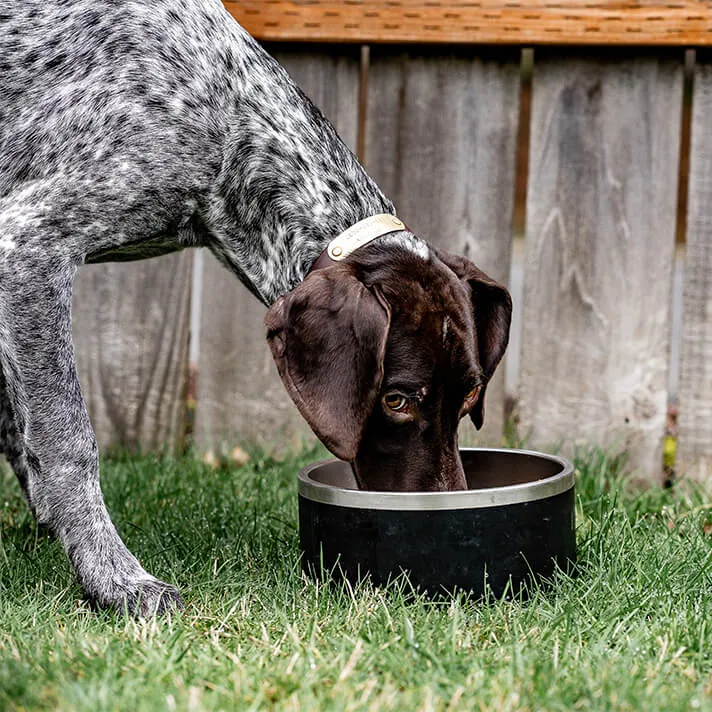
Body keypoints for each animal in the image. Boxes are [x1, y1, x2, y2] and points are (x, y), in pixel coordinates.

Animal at [1, 0, 512, 616]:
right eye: (394, 400)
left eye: (470, 399)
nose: (444, 521)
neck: (228, 117)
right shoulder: (30, 245)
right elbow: (67, 443)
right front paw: (113, 578)